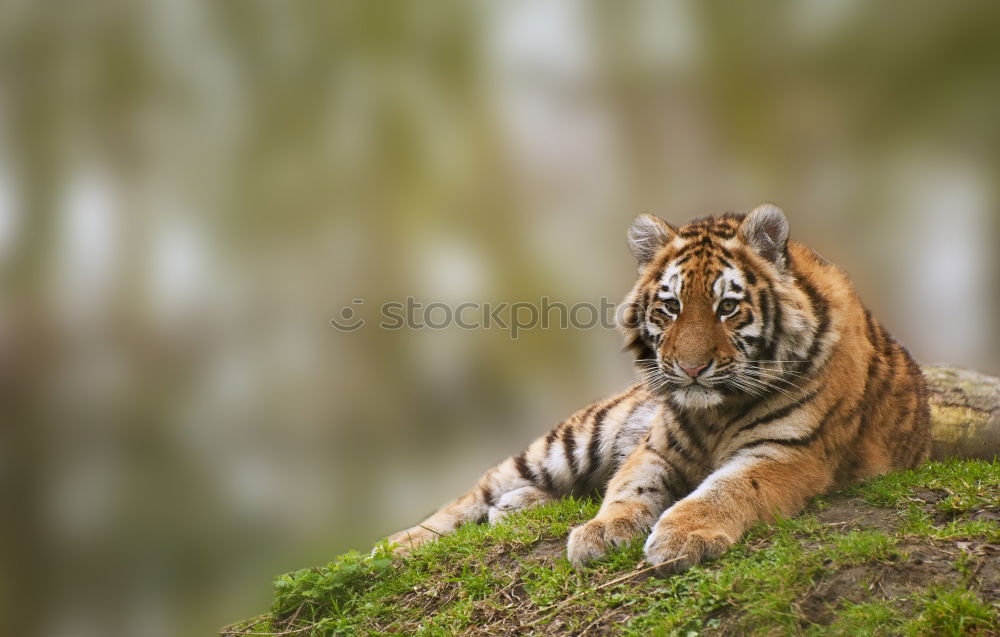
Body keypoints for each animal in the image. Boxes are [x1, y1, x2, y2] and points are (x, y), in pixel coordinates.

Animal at [386, 204, 932, 572]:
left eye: (727, 307)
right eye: (670, 306)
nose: (690, 368)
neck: (715, 410)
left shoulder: (788, 452)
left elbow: (727, 489)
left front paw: (681, 537)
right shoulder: (655, 447)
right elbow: (629, 487)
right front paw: (603, 531)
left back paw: (515, 507)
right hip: (574, 439)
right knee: (476, 491)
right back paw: (395, 545)